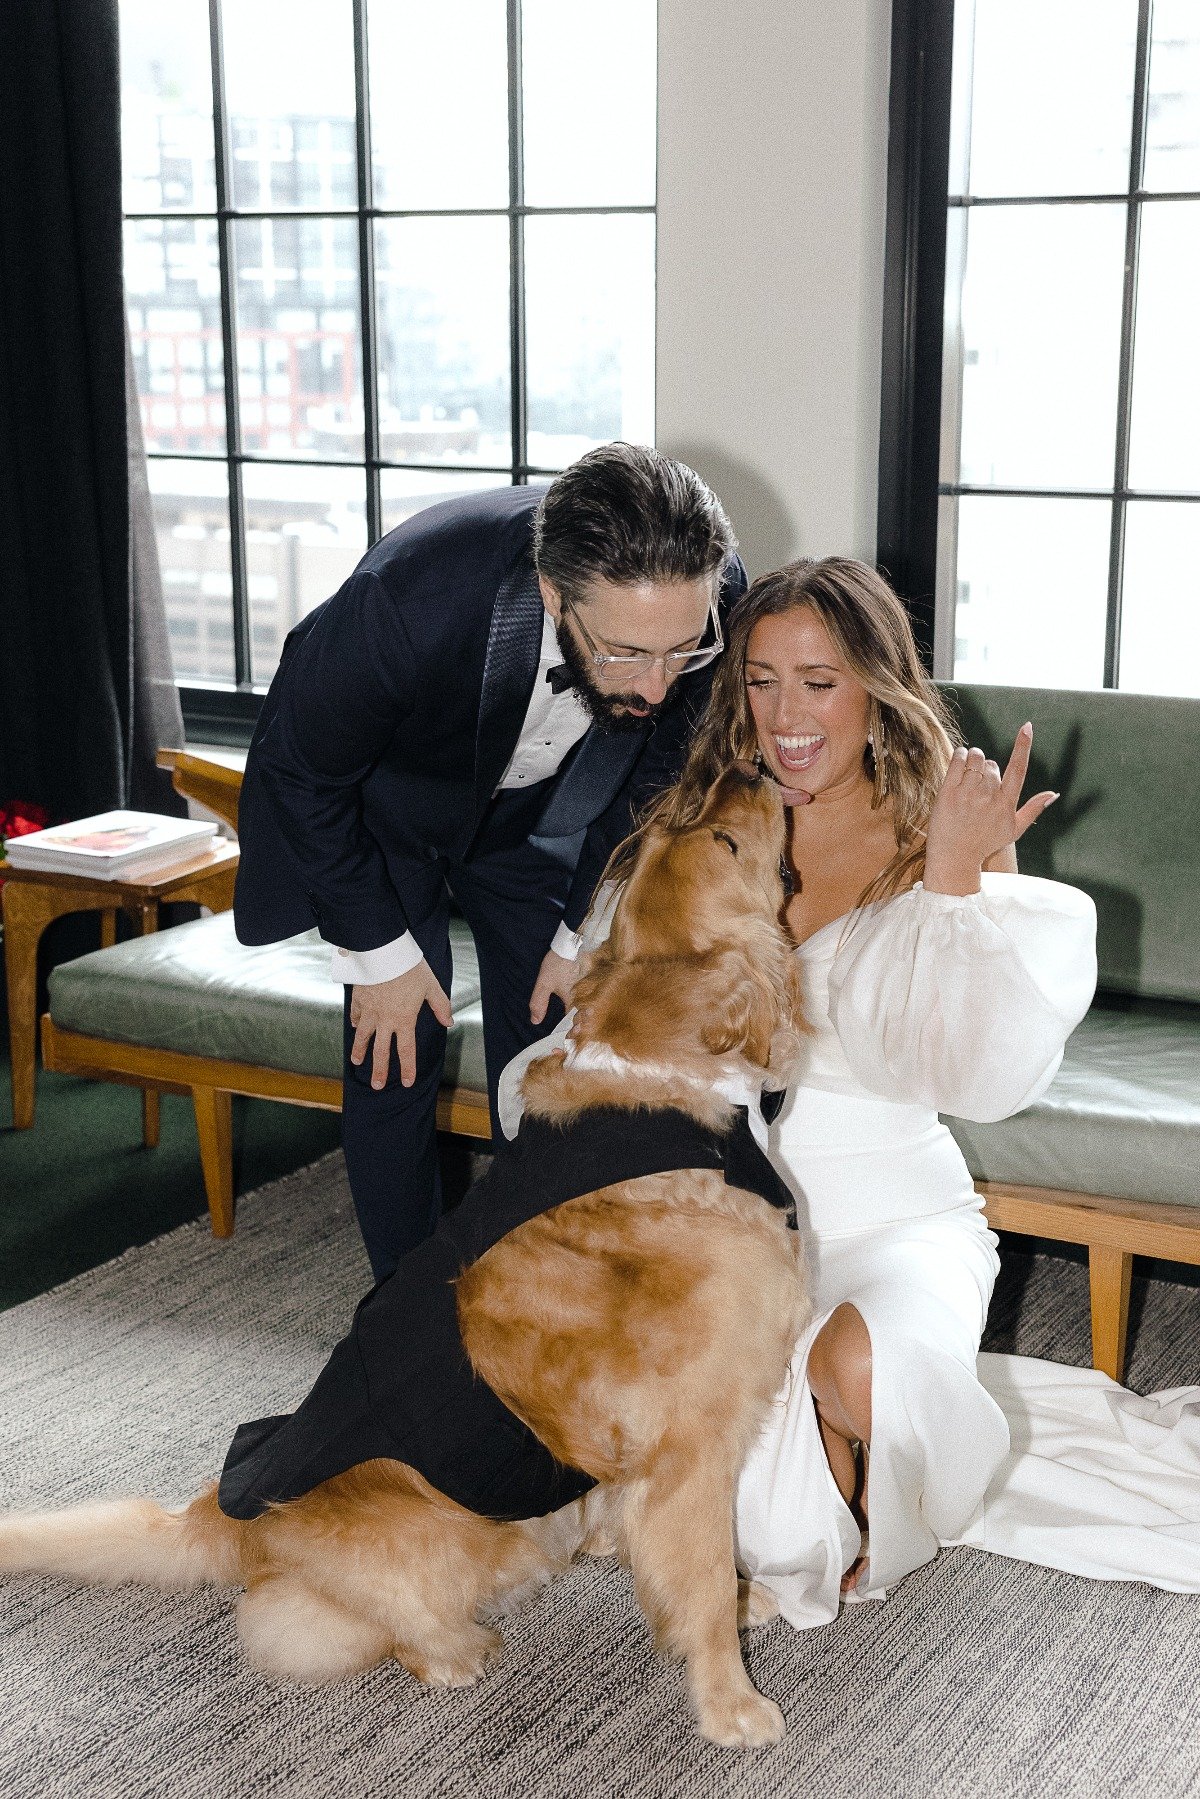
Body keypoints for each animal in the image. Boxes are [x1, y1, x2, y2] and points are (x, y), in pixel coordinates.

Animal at [0, 766, 813, 1748]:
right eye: (724, 842)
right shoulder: (694, 1446)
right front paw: (732, 1702)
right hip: (449, 1542)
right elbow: (696, 1583)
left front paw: (739, 1601)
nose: (747, 767)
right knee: (310, 1621)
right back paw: (455, 1650)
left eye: (656, 840)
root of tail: (218, 1513)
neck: (662, 1090)